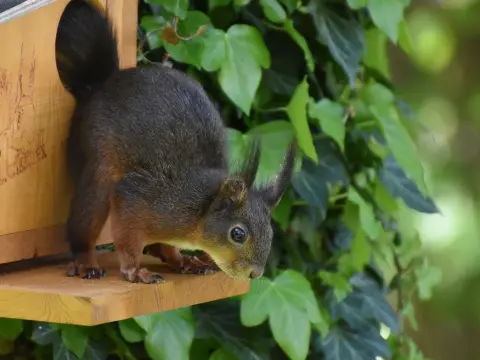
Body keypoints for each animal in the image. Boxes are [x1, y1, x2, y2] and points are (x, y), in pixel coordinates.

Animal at [54, 0, 294, 284]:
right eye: (238, 234)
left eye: (270, 232)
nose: (255, 273)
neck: (199, 210)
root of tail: (98, 87)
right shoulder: (141, 198)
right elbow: (127, 238)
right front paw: (134, 270)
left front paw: (187, 260)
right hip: (98, 163)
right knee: (85, 222)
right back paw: (86, 262)